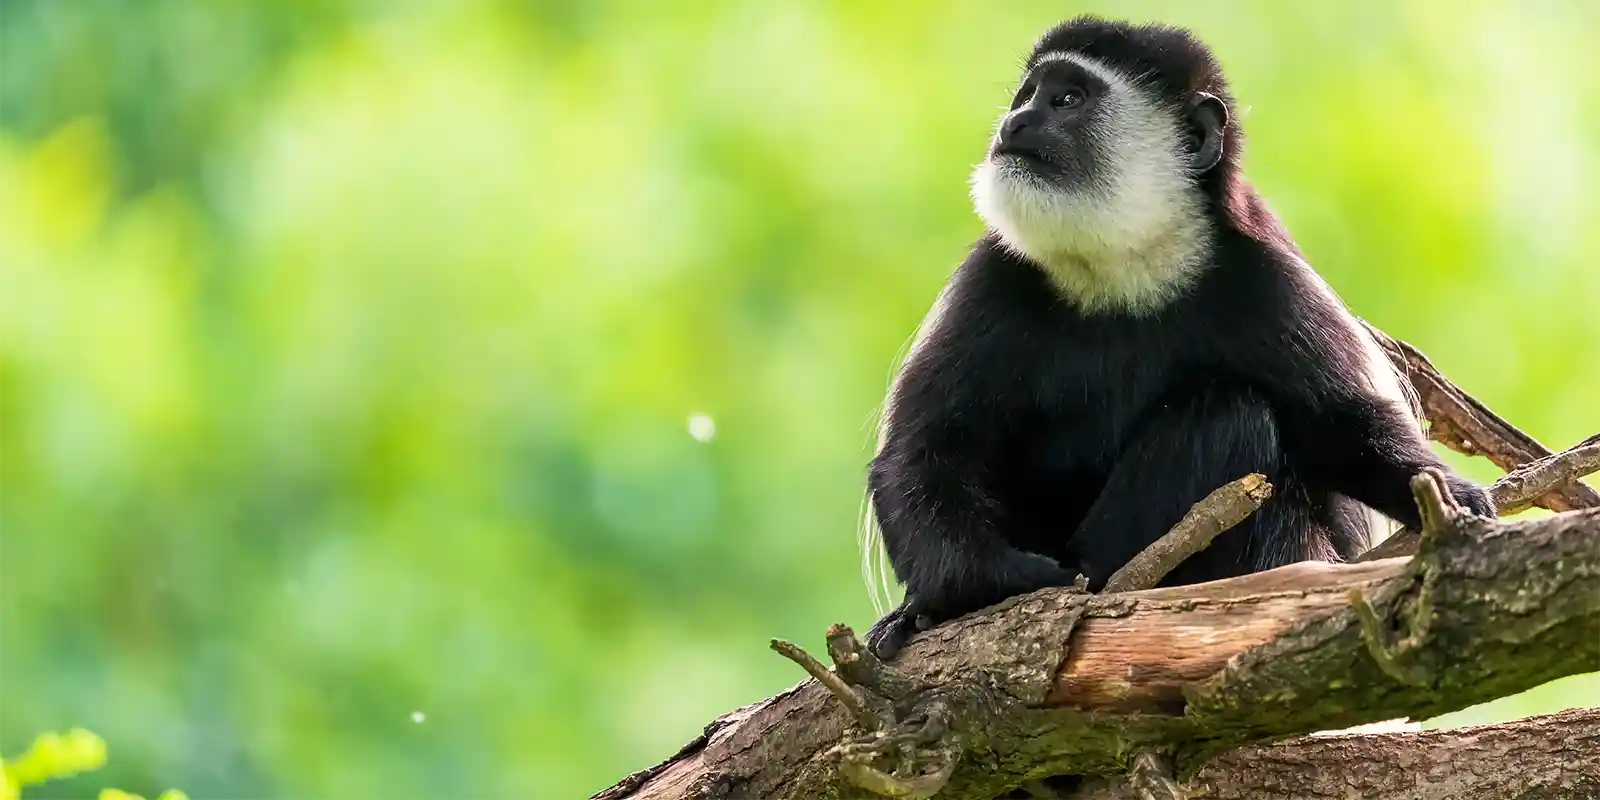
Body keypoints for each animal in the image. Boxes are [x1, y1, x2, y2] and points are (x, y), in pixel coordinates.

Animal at [860, 16, 1495, 659]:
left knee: (1228, 413)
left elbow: (1345, 427)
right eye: (1026, 95)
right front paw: (988, 586)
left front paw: (1453, 496)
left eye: (1068, 98)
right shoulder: (989, 283)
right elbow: (923, 454)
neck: (1123, 270)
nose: (1014, 123)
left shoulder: (1270, 286)